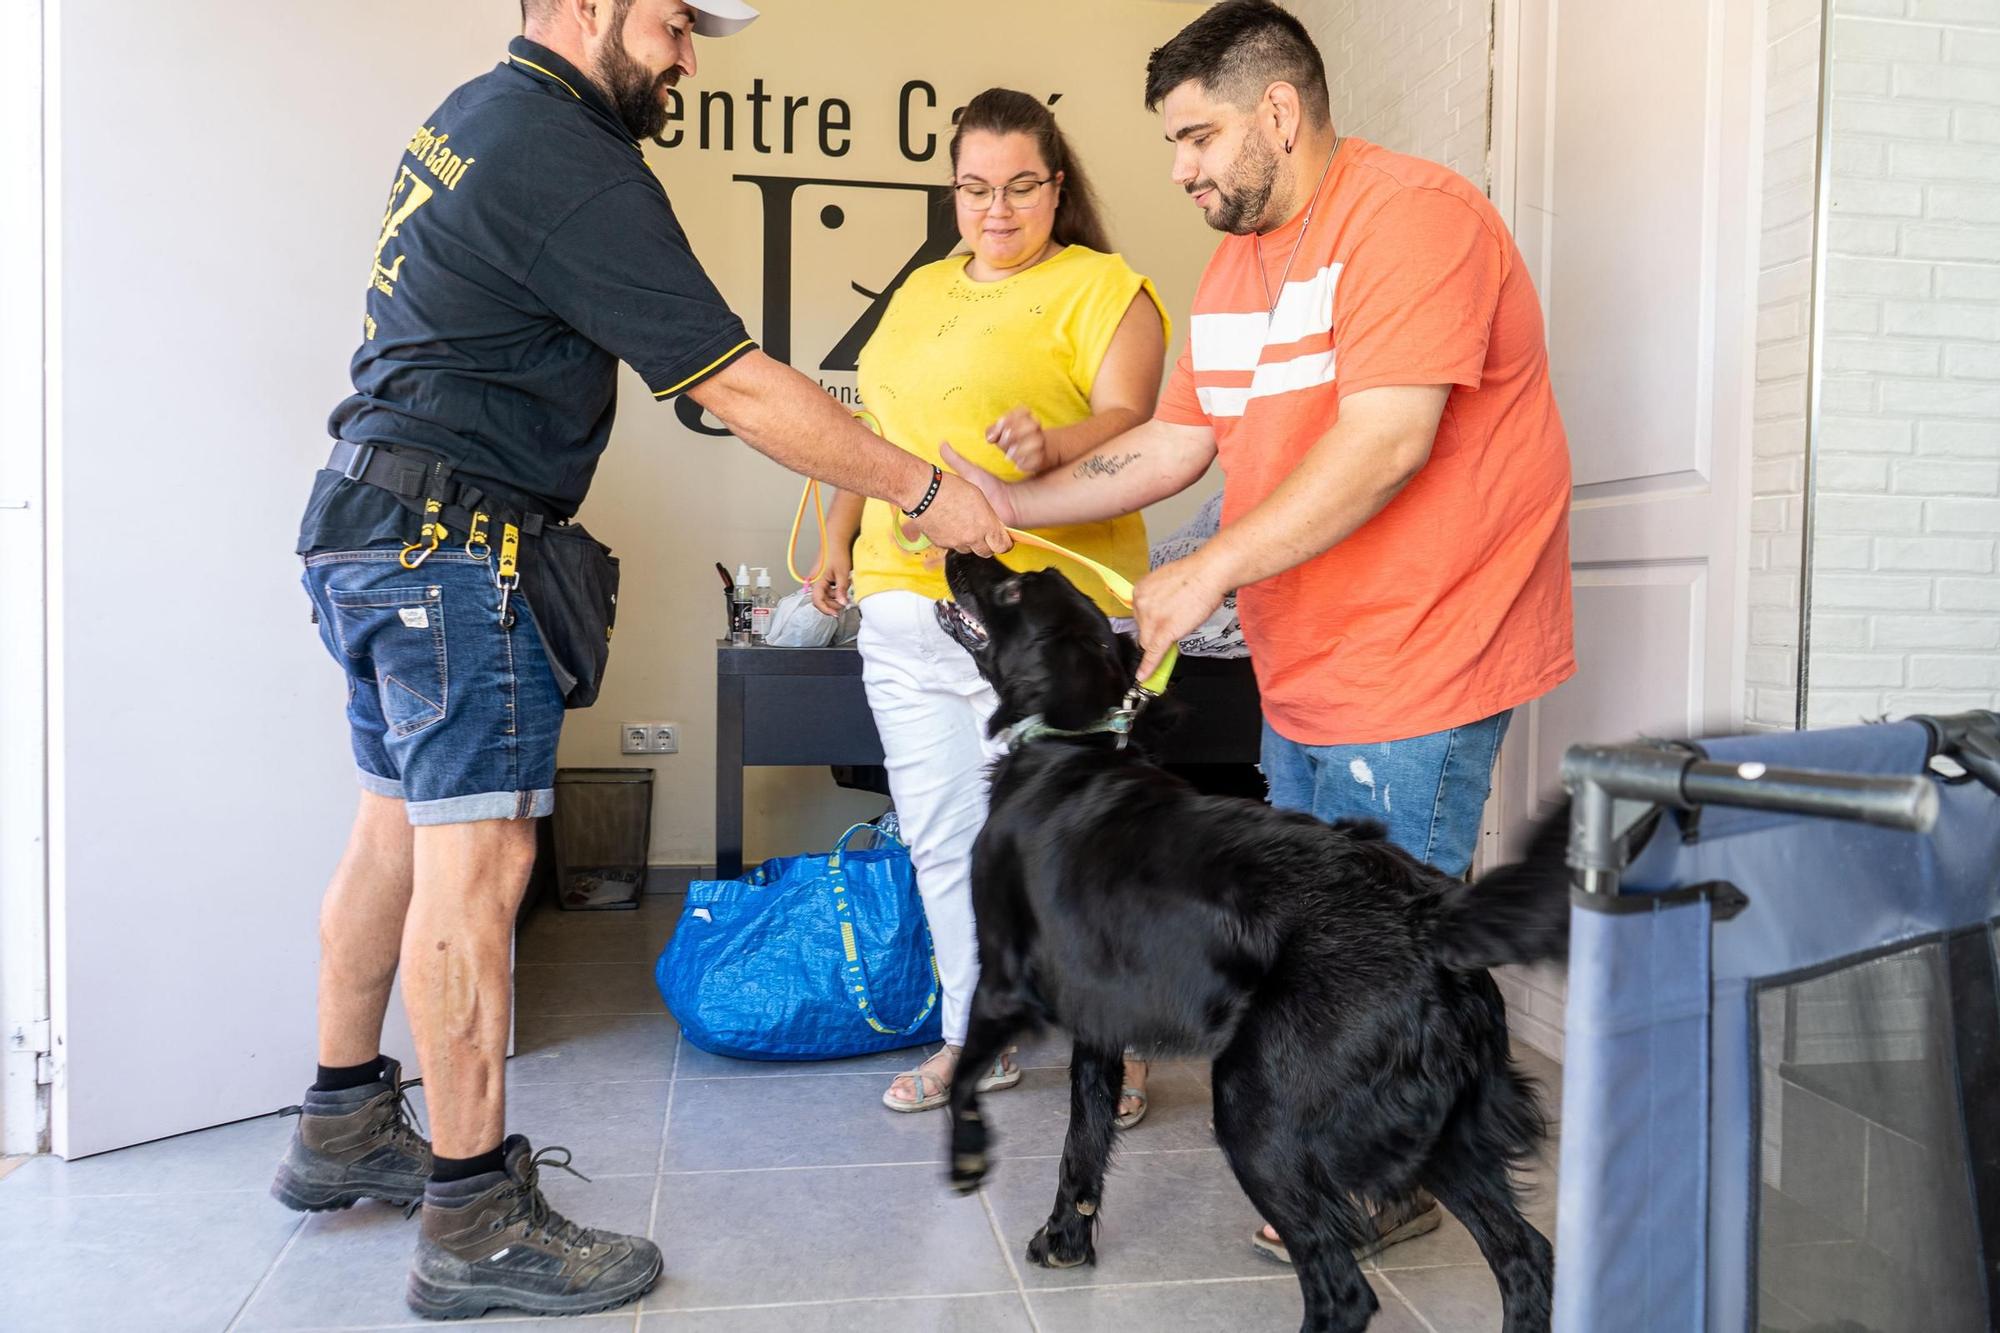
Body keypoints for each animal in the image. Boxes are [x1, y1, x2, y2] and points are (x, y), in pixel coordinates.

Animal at [936, 548, 1576, 1328]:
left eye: (1012, 589)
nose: (957, 550)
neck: (1068, 749)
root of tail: (1432, 916)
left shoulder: (1000, 977)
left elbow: (968, 1075)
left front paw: (968, 1155)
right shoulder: (1098, 1018)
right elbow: (1082, 1138)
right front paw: (1067, 1236)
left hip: (1256, 1108)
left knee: (1343, 1288)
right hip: (1442, 1132)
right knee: (1525, 1255)